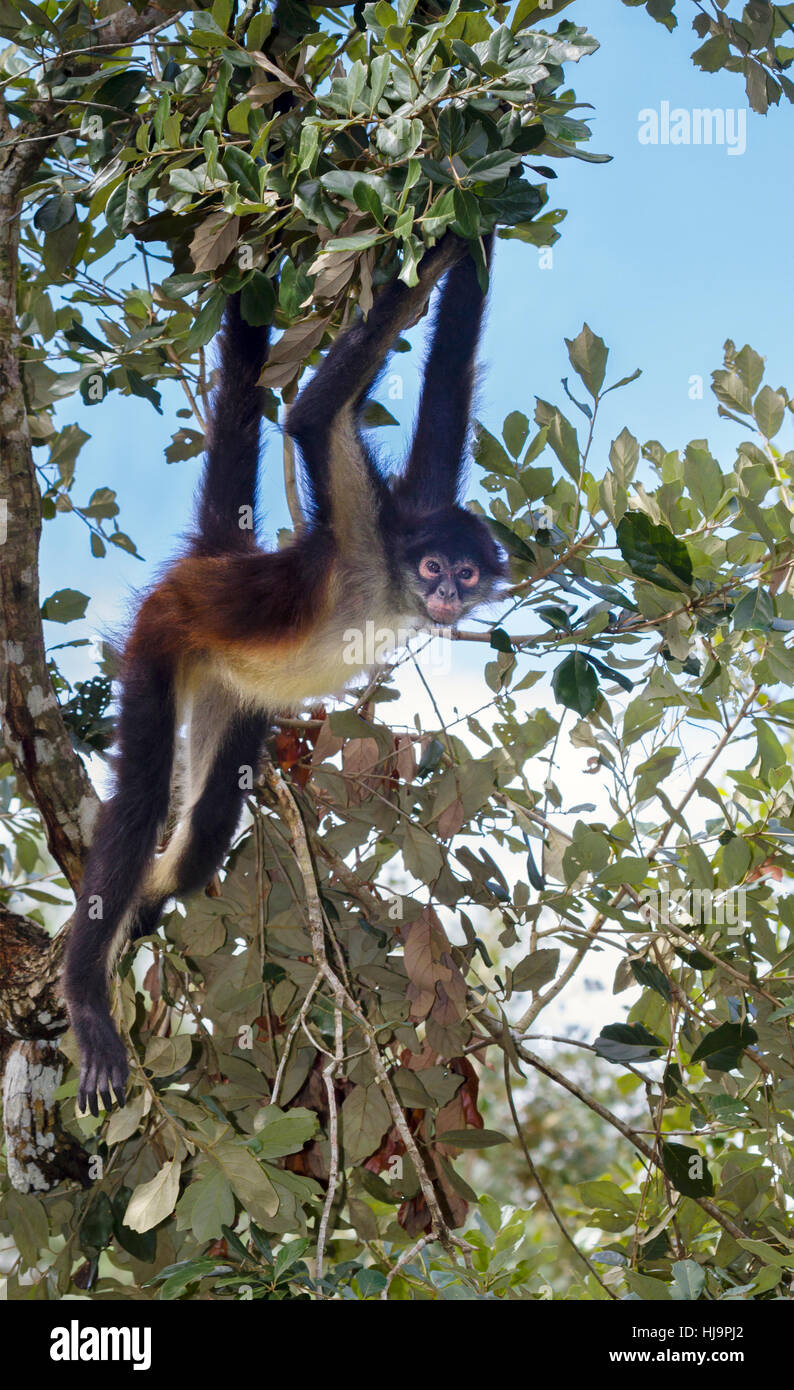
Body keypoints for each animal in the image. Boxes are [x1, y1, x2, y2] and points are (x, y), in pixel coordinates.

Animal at [65, 233, 506, 1112]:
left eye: (466, 574)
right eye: (434, 567)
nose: (446, 594)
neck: (391, 583)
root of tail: (214, 562)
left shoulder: (409, 510)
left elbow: (447, 385)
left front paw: (482, 230)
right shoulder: (370, 531)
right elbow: (309, 418)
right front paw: (445, 236)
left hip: (226, 691)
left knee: (204, 828)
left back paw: (152, 898)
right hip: (161, 638)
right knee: (139, 803)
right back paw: (87, 999)